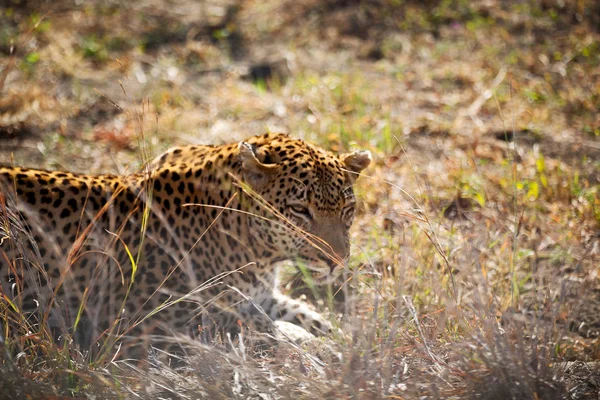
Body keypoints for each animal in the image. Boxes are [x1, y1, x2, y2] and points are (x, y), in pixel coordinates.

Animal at [0, 132, 370, 356]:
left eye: (347, 209)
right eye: (300, 210)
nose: (337, 261)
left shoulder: (259, 296)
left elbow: (301, 312)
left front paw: (337, 335)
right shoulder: (150, 324)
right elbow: (252, 327)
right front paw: (306, 344)